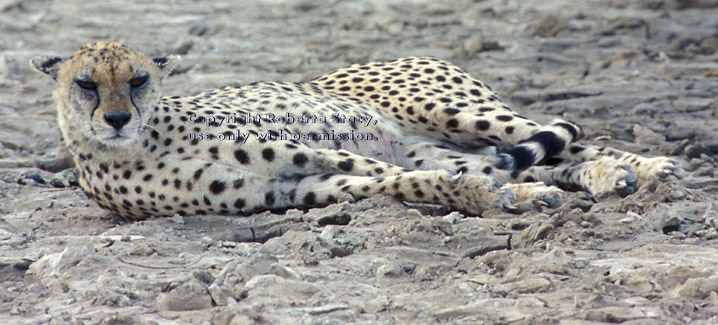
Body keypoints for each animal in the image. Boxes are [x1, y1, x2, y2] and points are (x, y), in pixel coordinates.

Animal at [31, 40, 684, 218]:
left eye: (138, 79)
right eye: (86, 84)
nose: (117, 117)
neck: (138, 146)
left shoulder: (307, 154)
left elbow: (380, 173)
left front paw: (499, 197)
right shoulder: (288, 187)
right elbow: (397, 183)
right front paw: (487, 196)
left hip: (457, 111)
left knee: (569, 134)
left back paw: (642, 167)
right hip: (443, 144)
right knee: (544, 157)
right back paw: (599, 178)